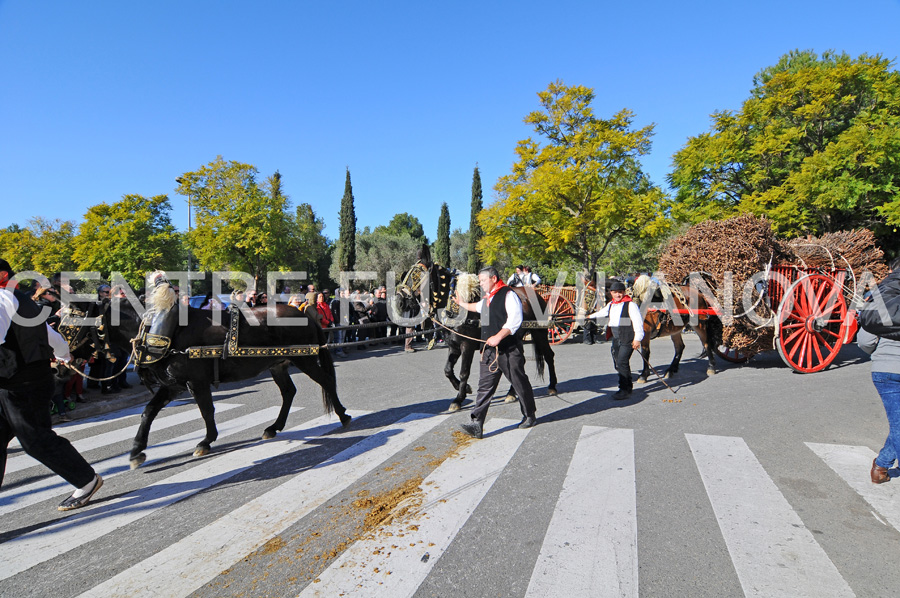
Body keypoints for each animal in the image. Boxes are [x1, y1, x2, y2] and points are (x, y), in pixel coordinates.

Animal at [64, 278, 348, 472]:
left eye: (72, 323)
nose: (63, 359)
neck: (162, 330)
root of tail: (304, 314)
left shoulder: (195, 381)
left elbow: (206, 410)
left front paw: (206, 441)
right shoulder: (173, 385)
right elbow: (148, 412)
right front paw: (136, 452)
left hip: (304, 358)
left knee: (326, 381)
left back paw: (343, 415)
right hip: (277, 364)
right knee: (289, 391)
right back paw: (274, 427)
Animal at [394, 262, 556, 412]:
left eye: (416, 277)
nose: (399, 302)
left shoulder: (467, 345)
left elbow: (464, 372)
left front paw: (458, 399)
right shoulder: (454, 345)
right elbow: (447, 370)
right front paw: (465, 389)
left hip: (540, 333)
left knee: (548, 355)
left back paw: (552, 386)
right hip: (515, 339)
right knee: (518, 363)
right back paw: (512, 393)